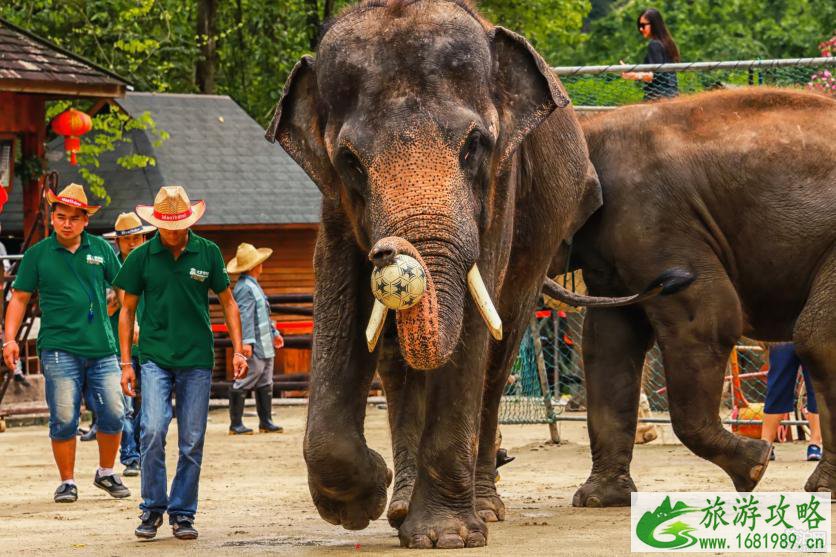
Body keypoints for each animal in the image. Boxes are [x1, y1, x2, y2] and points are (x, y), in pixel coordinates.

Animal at [568, 86, 836, 504]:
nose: (671, 280)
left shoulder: (655, 221)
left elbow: (707, 321)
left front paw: (755, 467)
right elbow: (608, 341)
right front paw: (599, 499)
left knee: (816, 339)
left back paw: (821, 487)